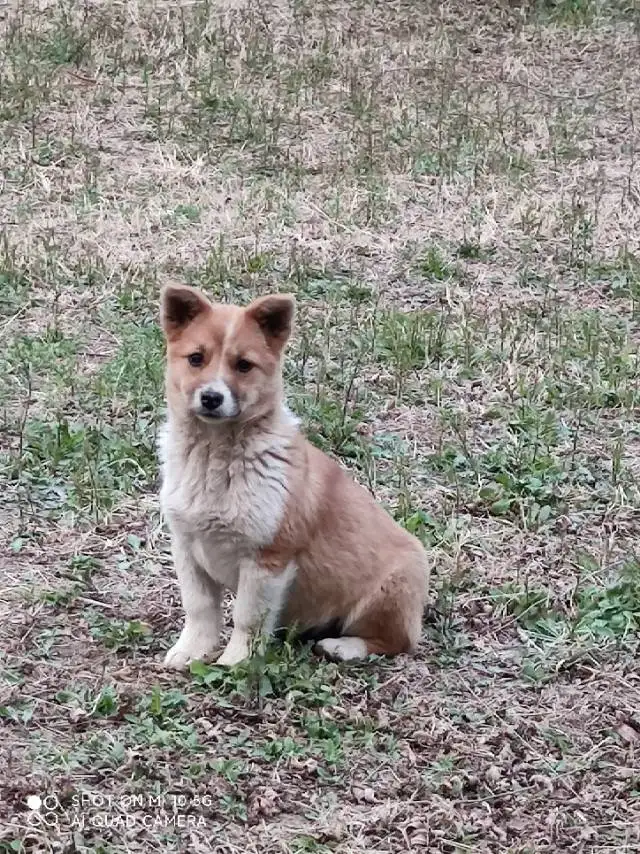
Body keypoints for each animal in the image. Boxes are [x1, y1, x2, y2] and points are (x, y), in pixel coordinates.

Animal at [159, 288, 430, 668]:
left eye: (244, 365)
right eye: (196, 359)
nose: (211, 397)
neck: (215, 457)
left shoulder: (267, 559)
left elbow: (247, 618)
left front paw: (236, 662)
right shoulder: (187, 547)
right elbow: (200, 609)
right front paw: (190, 651)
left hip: (386, 592)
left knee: (396, 641)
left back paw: (342, 647)